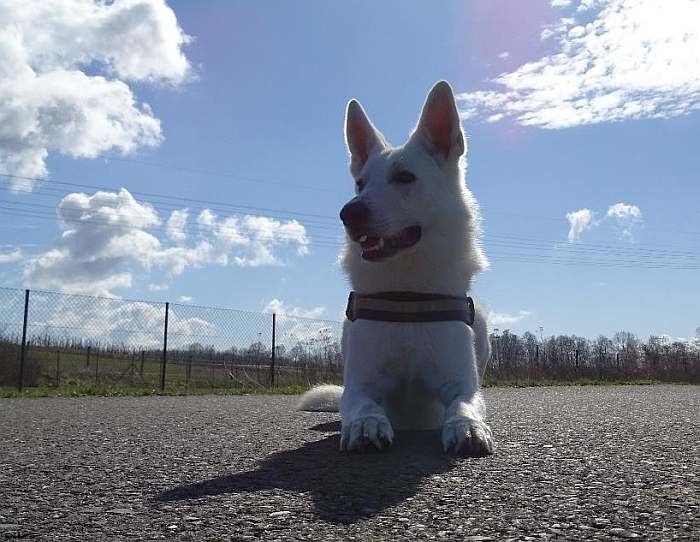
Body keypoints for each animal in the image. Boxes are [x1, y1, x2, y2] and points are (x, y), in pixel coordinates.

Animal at [298, 79, 494, 454]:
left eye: (405, 177)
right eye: (360, 183)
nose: (349, 213)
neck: (407, 294)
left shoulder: (463, 384)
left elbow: (465, 404)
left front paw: (468, 426)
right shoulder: (360, 385)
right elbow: (362, 404)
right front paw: (366, 424)